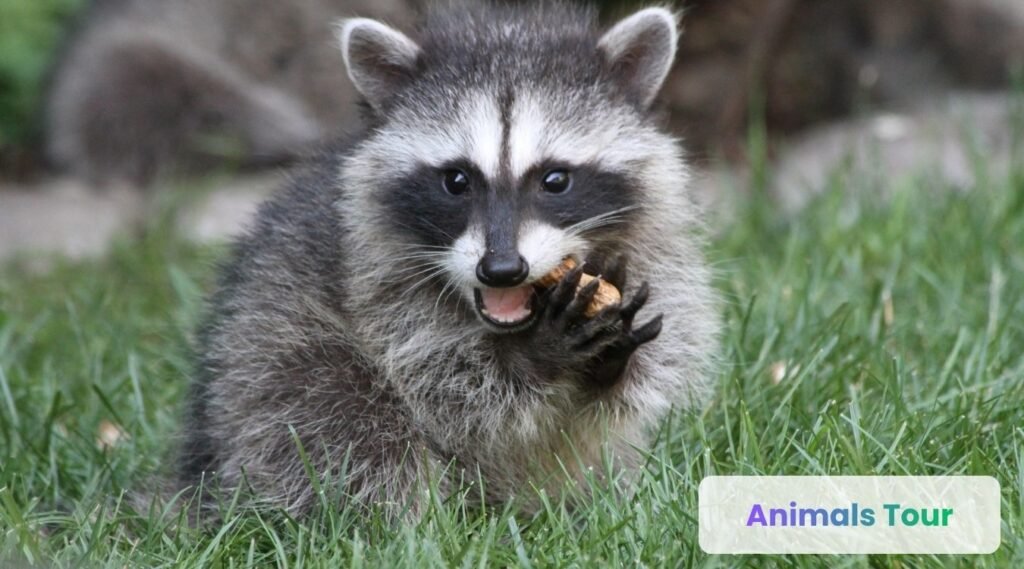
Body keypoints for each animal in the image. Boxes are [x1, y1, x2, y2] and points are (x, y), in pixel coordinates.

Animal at [180, 2, 720, 516]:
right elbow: (447, 388)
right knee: (344, 424)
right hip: (266, 366)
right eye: (456, 180)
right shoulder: (373, 284)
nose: (502, 269)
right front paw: (535, 356)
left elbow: (648, 368)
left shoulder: (653, 251)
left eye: (556, 179)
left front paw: (613, 354)